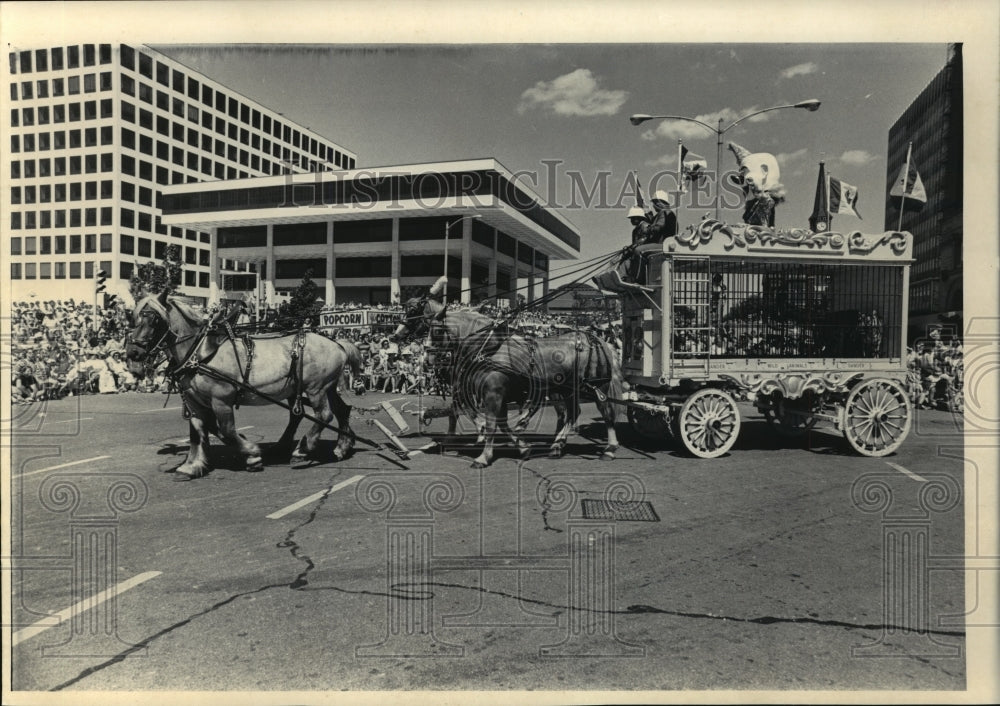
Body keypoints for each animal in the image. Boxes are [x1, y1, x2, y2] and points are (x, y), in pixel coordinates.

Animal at [124, 290, 360, 478]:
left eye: (155, 319)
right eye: (134, 318)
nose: (133, 353)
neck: (200, 352)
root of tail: (338, 344)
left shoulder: (221, 399)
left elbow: (227, 430)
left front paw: (252, 455)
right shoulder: (194, 401)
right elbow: (197, 431)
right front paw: (192, 465)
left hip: (315, 388)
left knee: (324, 415)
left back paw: (303, 449)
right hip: (320, 388)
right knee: (335, 410)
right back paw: (340, 447)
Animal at [394, 286, 620, 468]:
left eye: (437, 330)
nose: (428, 358)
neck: (488, 348)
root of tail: (594, 338)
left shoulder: (492, 394)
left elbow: (489, 423)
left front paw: (483, 456)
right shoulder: (492, 394)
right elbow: (498, 423)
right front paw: (522, 447)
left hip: (596, 386)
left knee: (605, 412)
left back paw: (609, 448)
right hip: (566, 390)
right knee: (572, 413)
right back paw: (556, 445)